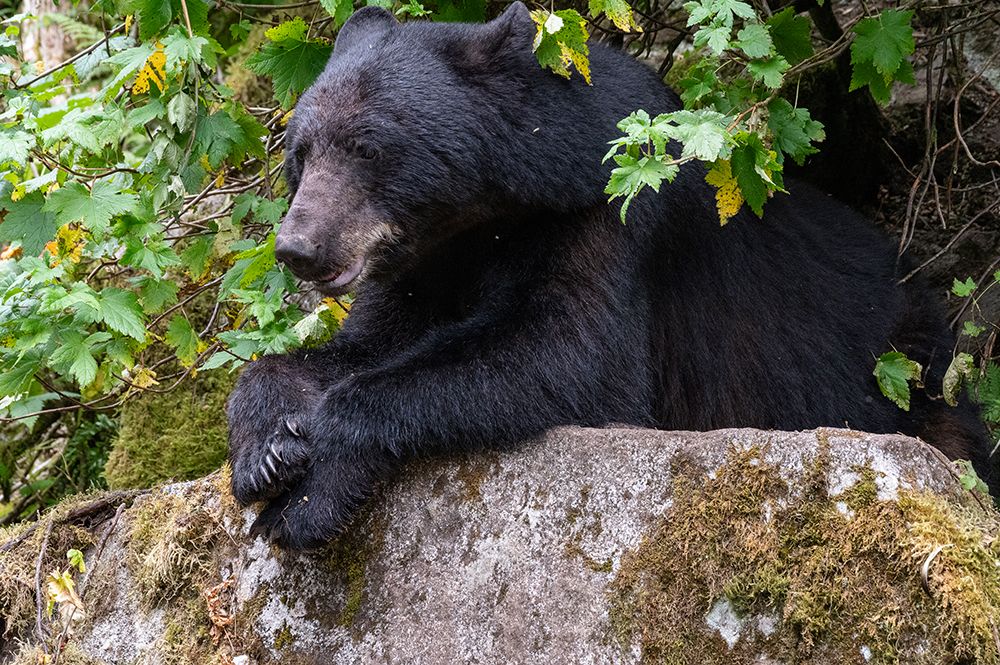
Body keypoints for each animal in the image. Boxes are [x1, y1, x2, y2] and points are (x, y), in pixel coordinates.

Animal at [225, 2, 996, 549]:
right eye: (301, 150)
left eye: (367, 146)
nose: (298, 247)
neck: (486, 218)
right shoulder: (420, 261)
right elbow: (360, 343)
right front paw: (266, 446)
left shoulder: (613, 214)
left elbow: (569, 356)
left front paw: (312, 484)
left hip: (910, 379)